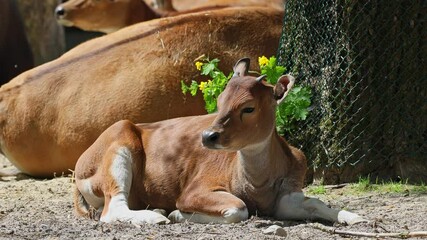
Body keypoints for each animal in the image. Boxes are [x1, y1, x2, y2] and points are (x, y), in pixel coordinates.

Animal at [74, 58, 368, 225]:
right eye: (220, 101)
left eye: (248, 107)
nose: (208, 136)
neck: (255, 185)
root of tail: (80, 165)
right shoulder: (194, 191)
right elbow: (239, 209)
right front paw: (177, 214)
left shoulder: (287, 198)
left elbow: (317, 203)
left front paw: (353, 217)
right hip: (119, 145)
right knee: (112, 210)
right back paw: (156, 217)